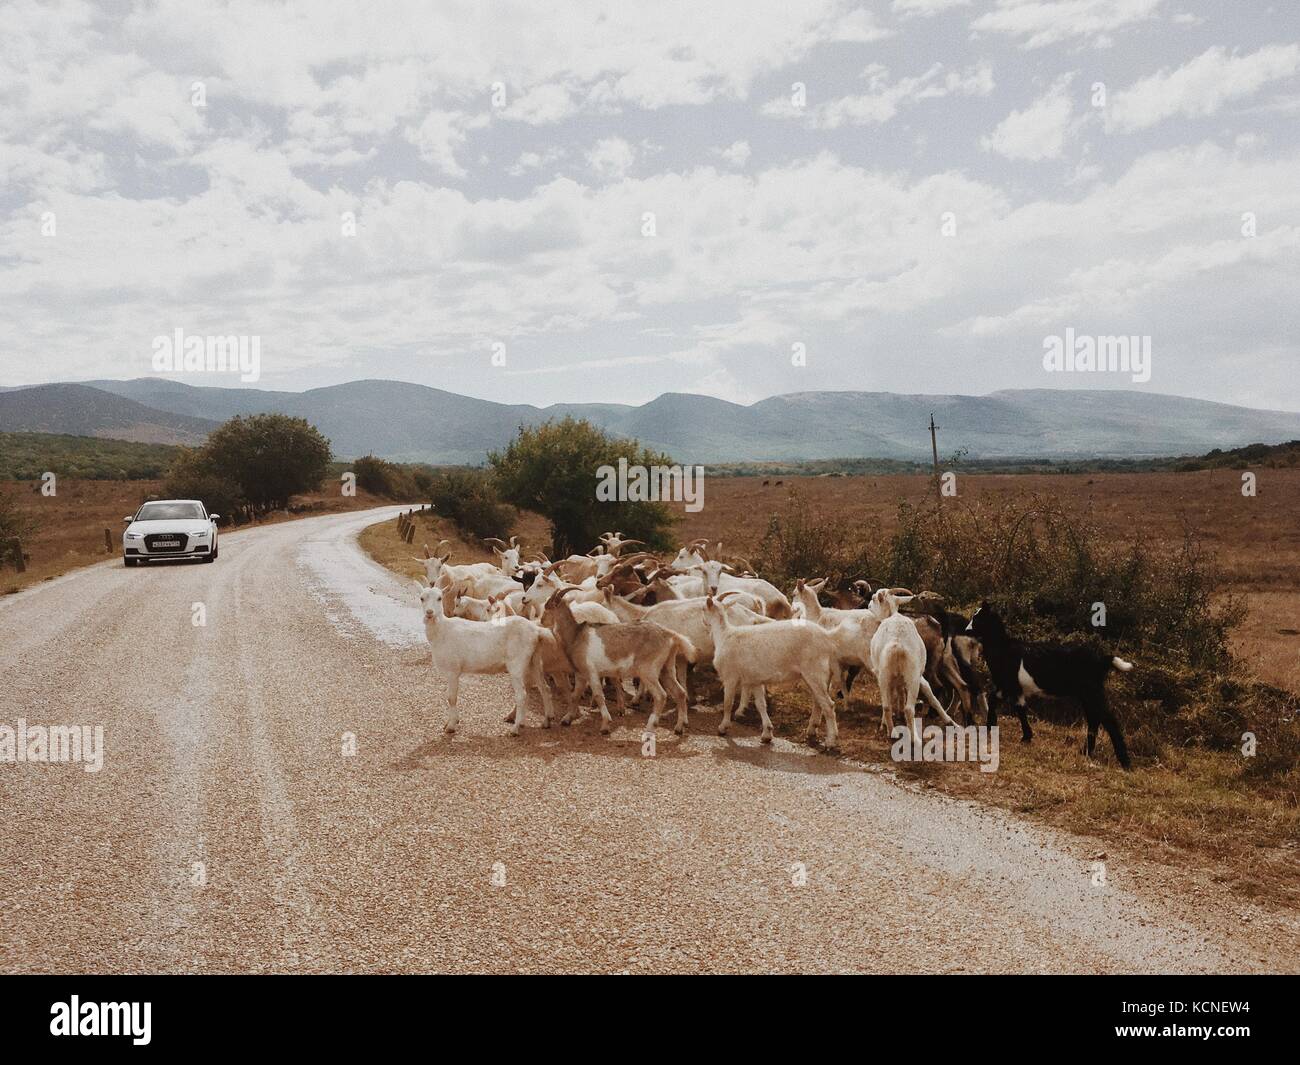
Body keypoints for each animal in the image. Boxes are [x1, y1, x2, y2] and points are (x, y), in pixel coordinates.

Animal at [961, 603, 1133, 769]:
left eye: (978, 618)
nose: (966, 630)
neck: (1003, 649)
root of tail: (1102, 659)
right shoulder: (1011, 687)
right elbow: (1008, 704)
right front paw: (1017, 734)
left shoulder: (1010, 685)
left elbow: (1010, 705)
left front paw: (1015, 735)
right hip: (1087, 694)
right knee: (1094, 719)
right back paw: (1086, 752)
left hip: (1092, 692)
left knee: (1109, 720)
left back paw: (1125, 762)